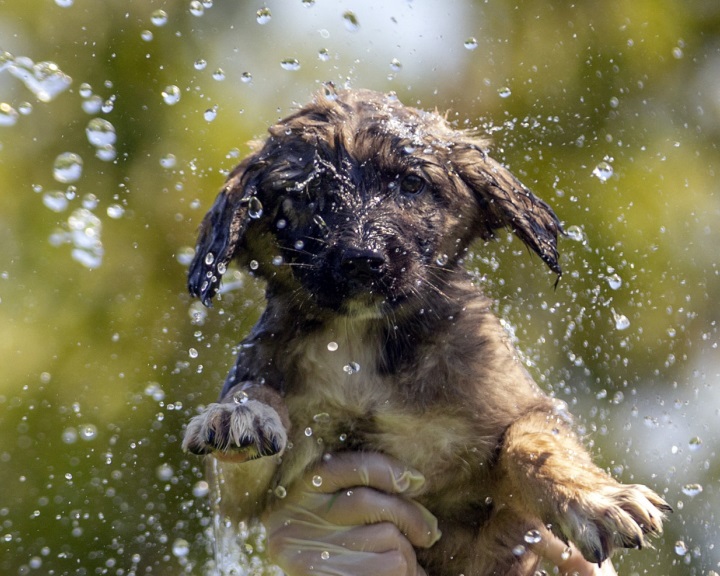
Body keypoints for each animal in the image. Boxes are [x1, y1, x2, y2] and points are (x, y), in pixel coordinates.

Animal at [181, 89, 668, 576]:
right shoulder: (251, 500)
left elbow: (532, 441)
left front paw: (593, 498)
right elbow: (255, 396)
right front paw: (238, 413)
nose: (363, 259)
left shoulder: (514, 435)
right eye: (308, 193)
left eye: (411, 184)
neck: (361, 342)